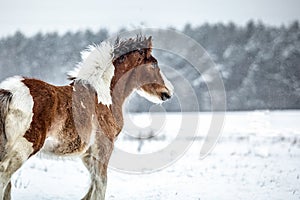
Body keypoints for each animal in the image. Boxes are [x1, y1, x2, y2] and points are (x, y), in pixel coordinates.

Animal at [0, 36, 173, 200]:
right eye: (154, 65)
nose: (168, 92)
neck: (105, 95)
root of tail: (9, 93)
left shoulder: (88, 154)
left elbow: (93, 185)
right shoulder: (104, 147)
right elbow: (101, 185)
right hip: (24, 149)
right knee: (4, 177)